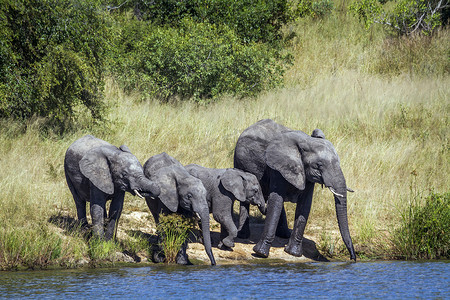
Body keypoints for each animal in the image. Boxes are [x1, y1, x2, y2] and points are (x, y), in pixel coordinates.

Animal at [234, 119, 356, 260]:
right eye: (318, 166)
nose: (353, 258)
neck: (307, 142)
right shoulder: (278, 167)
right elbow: (276, 201)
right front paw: (260, 253)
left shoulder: (306, 175)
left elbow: (305, 205)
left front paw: (293, 253)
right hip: (239, 162)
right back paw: (243, 235)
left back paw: (284, 234)